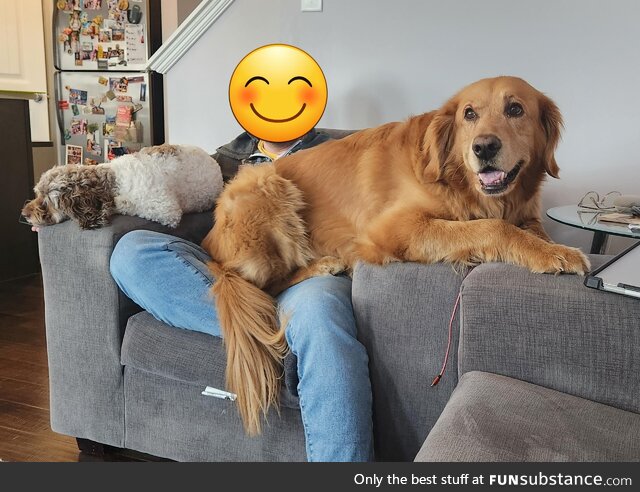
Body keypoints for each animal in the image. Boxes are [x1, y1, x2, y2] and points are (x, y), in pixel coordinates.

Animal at [22, 144, 224, 229]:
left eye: (47, 201)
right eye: (37, 194)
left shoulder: (165, 210)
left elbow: (122, 203)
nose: (24, 213)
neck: (113, 180)